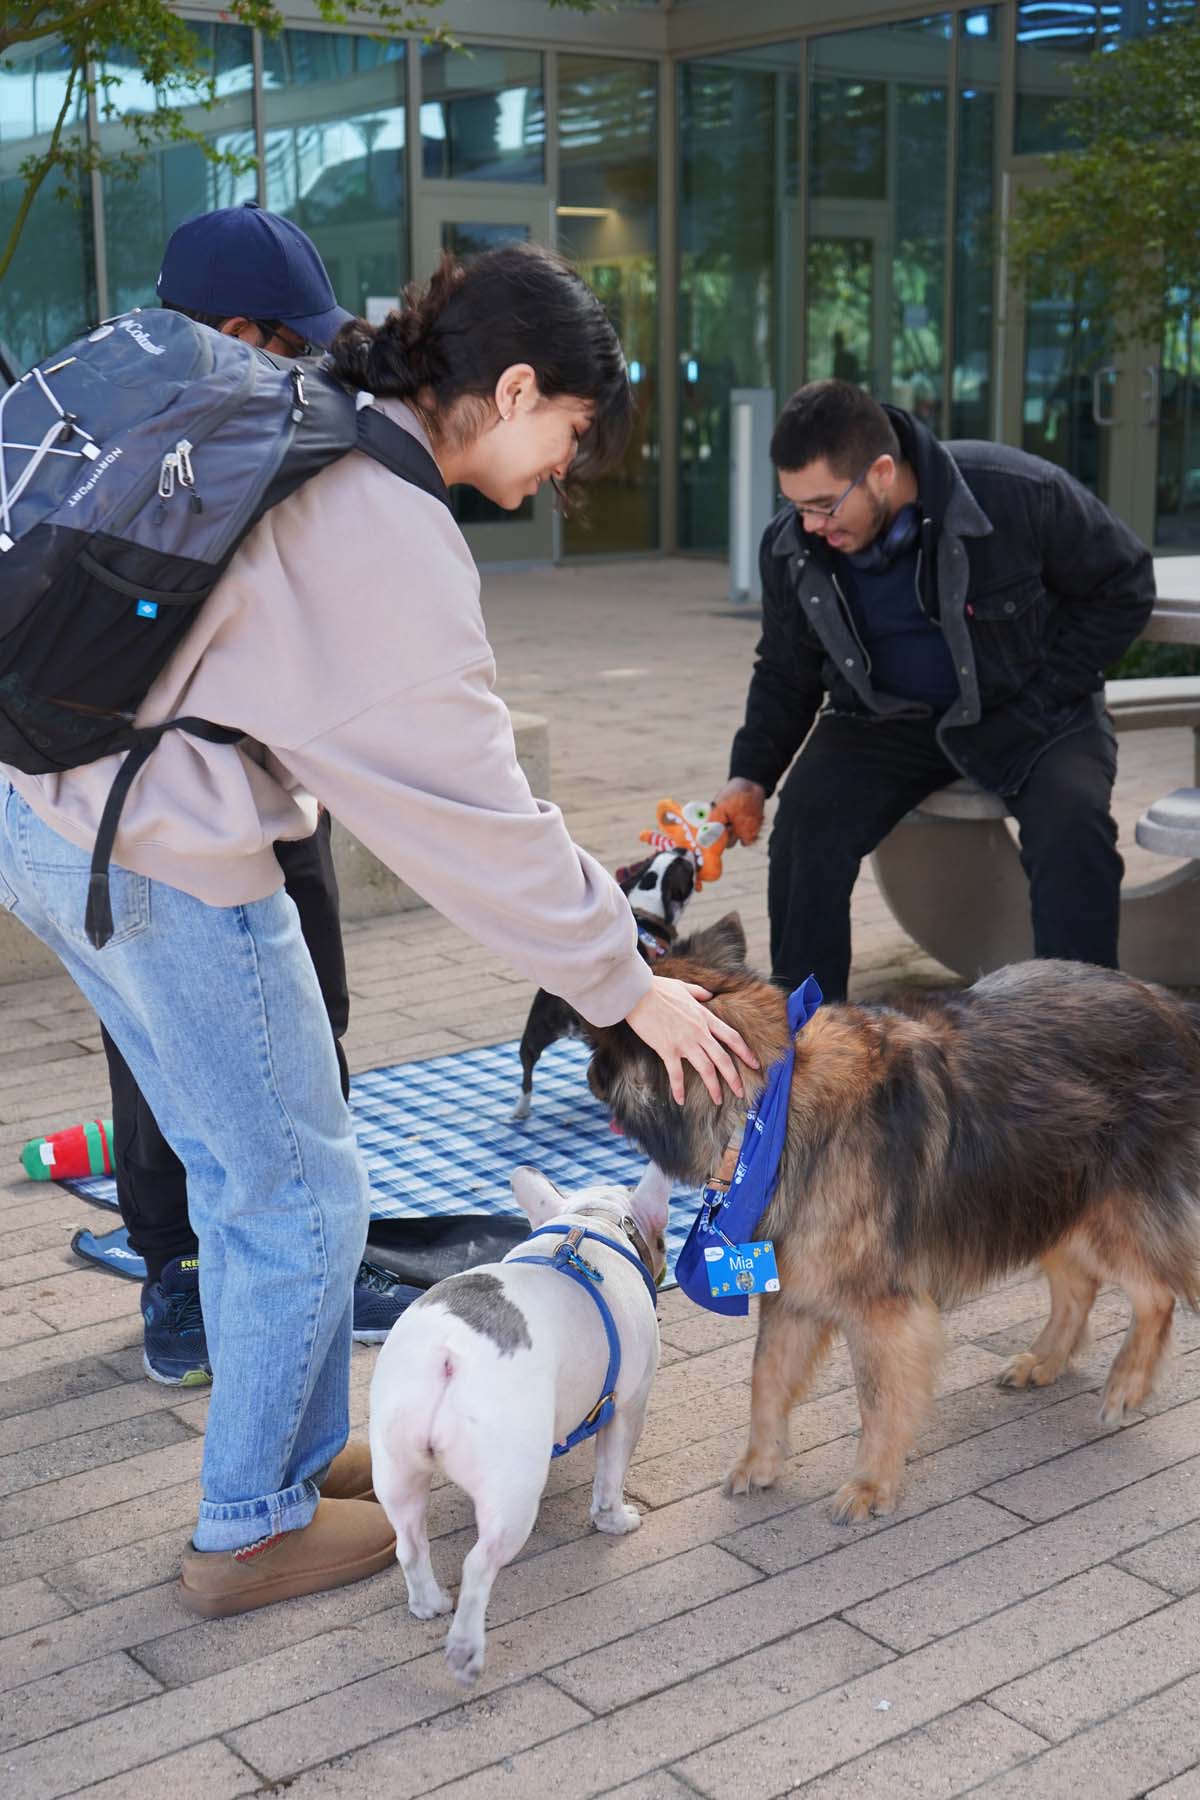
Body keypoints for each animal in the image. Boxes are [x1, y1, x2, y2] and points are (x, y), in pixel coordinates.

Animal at [590, 921, 1200, 1526]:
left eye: (603, 1049)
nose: (591, 1073)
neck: (768, 1109)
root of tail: (1164, 1001)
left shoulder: (882, 1309)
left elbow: (879, 1400)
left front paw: (871, 1484)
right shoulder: (795, 1291)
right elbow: (766, 1378)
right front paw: (760, 1462)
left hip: (1104, 1212)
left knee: (1156, 1294)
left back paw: (1126, 1384)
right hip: (1039, 1201)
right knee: (1080, 1286)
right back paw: (1044, 1361)